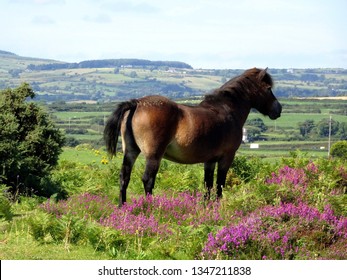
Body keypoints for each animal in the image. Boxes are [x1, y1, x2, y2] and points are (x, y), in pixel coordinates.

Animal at [104, 68, 282, 206]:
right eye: (268, 88)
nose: (278, 109)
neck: (227, 110)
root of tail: (137, 103)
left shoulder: (210, 160)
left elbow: (208, 184)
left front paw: (206, 206)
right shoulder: (226, 157)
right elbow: (220, 184)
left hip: (131, 151)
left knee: (124, 178)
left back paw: (122, 207)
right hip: (153, 155)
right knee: (148, 180)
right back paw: (150, 206)